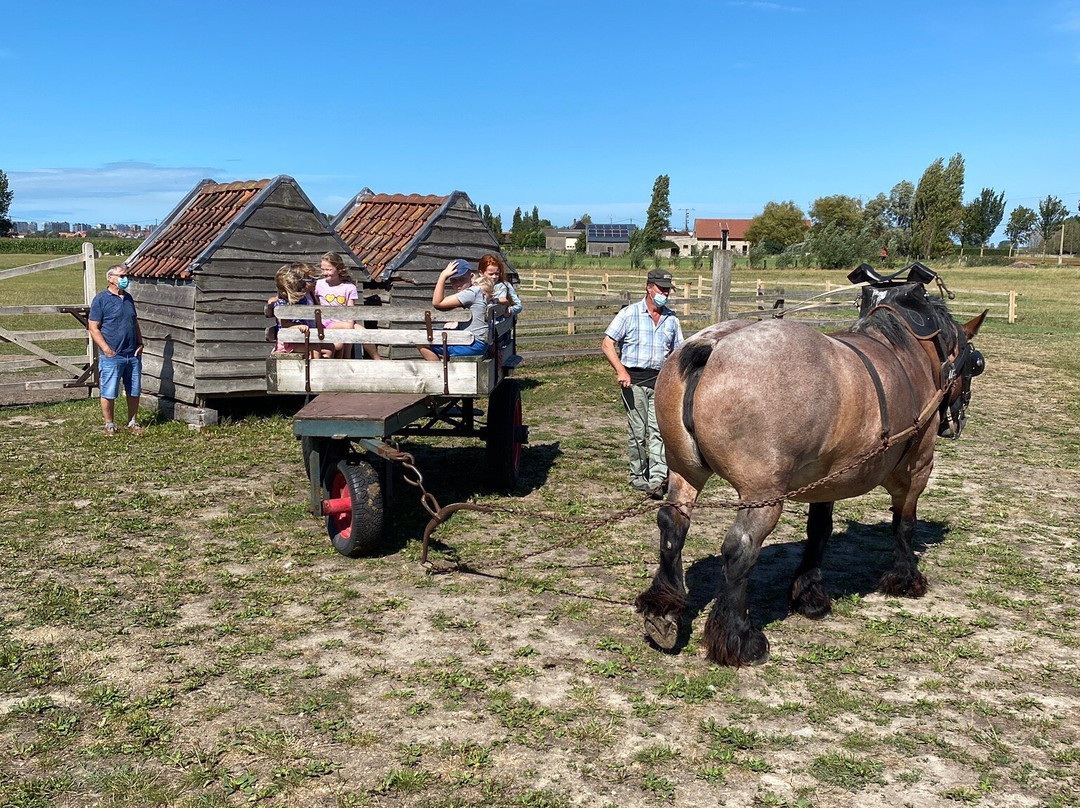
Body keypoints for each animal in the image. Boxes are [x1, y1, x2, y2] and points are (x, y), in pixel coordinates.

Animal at [630, 262, 989, 665]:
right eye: (975, 364)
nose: (956, 423)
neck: (909, 350)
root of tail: (713, 346)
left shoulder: (826, 479)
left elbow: (819, 531)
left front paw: (810, 594)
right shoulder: (917, 469)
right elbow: (904, 525)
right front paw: (905, 578)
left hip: (684, 471)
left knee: (672, 524)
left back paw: (663, 611)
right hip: (763, 494)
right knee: (740, 547)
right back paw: (739, 638)